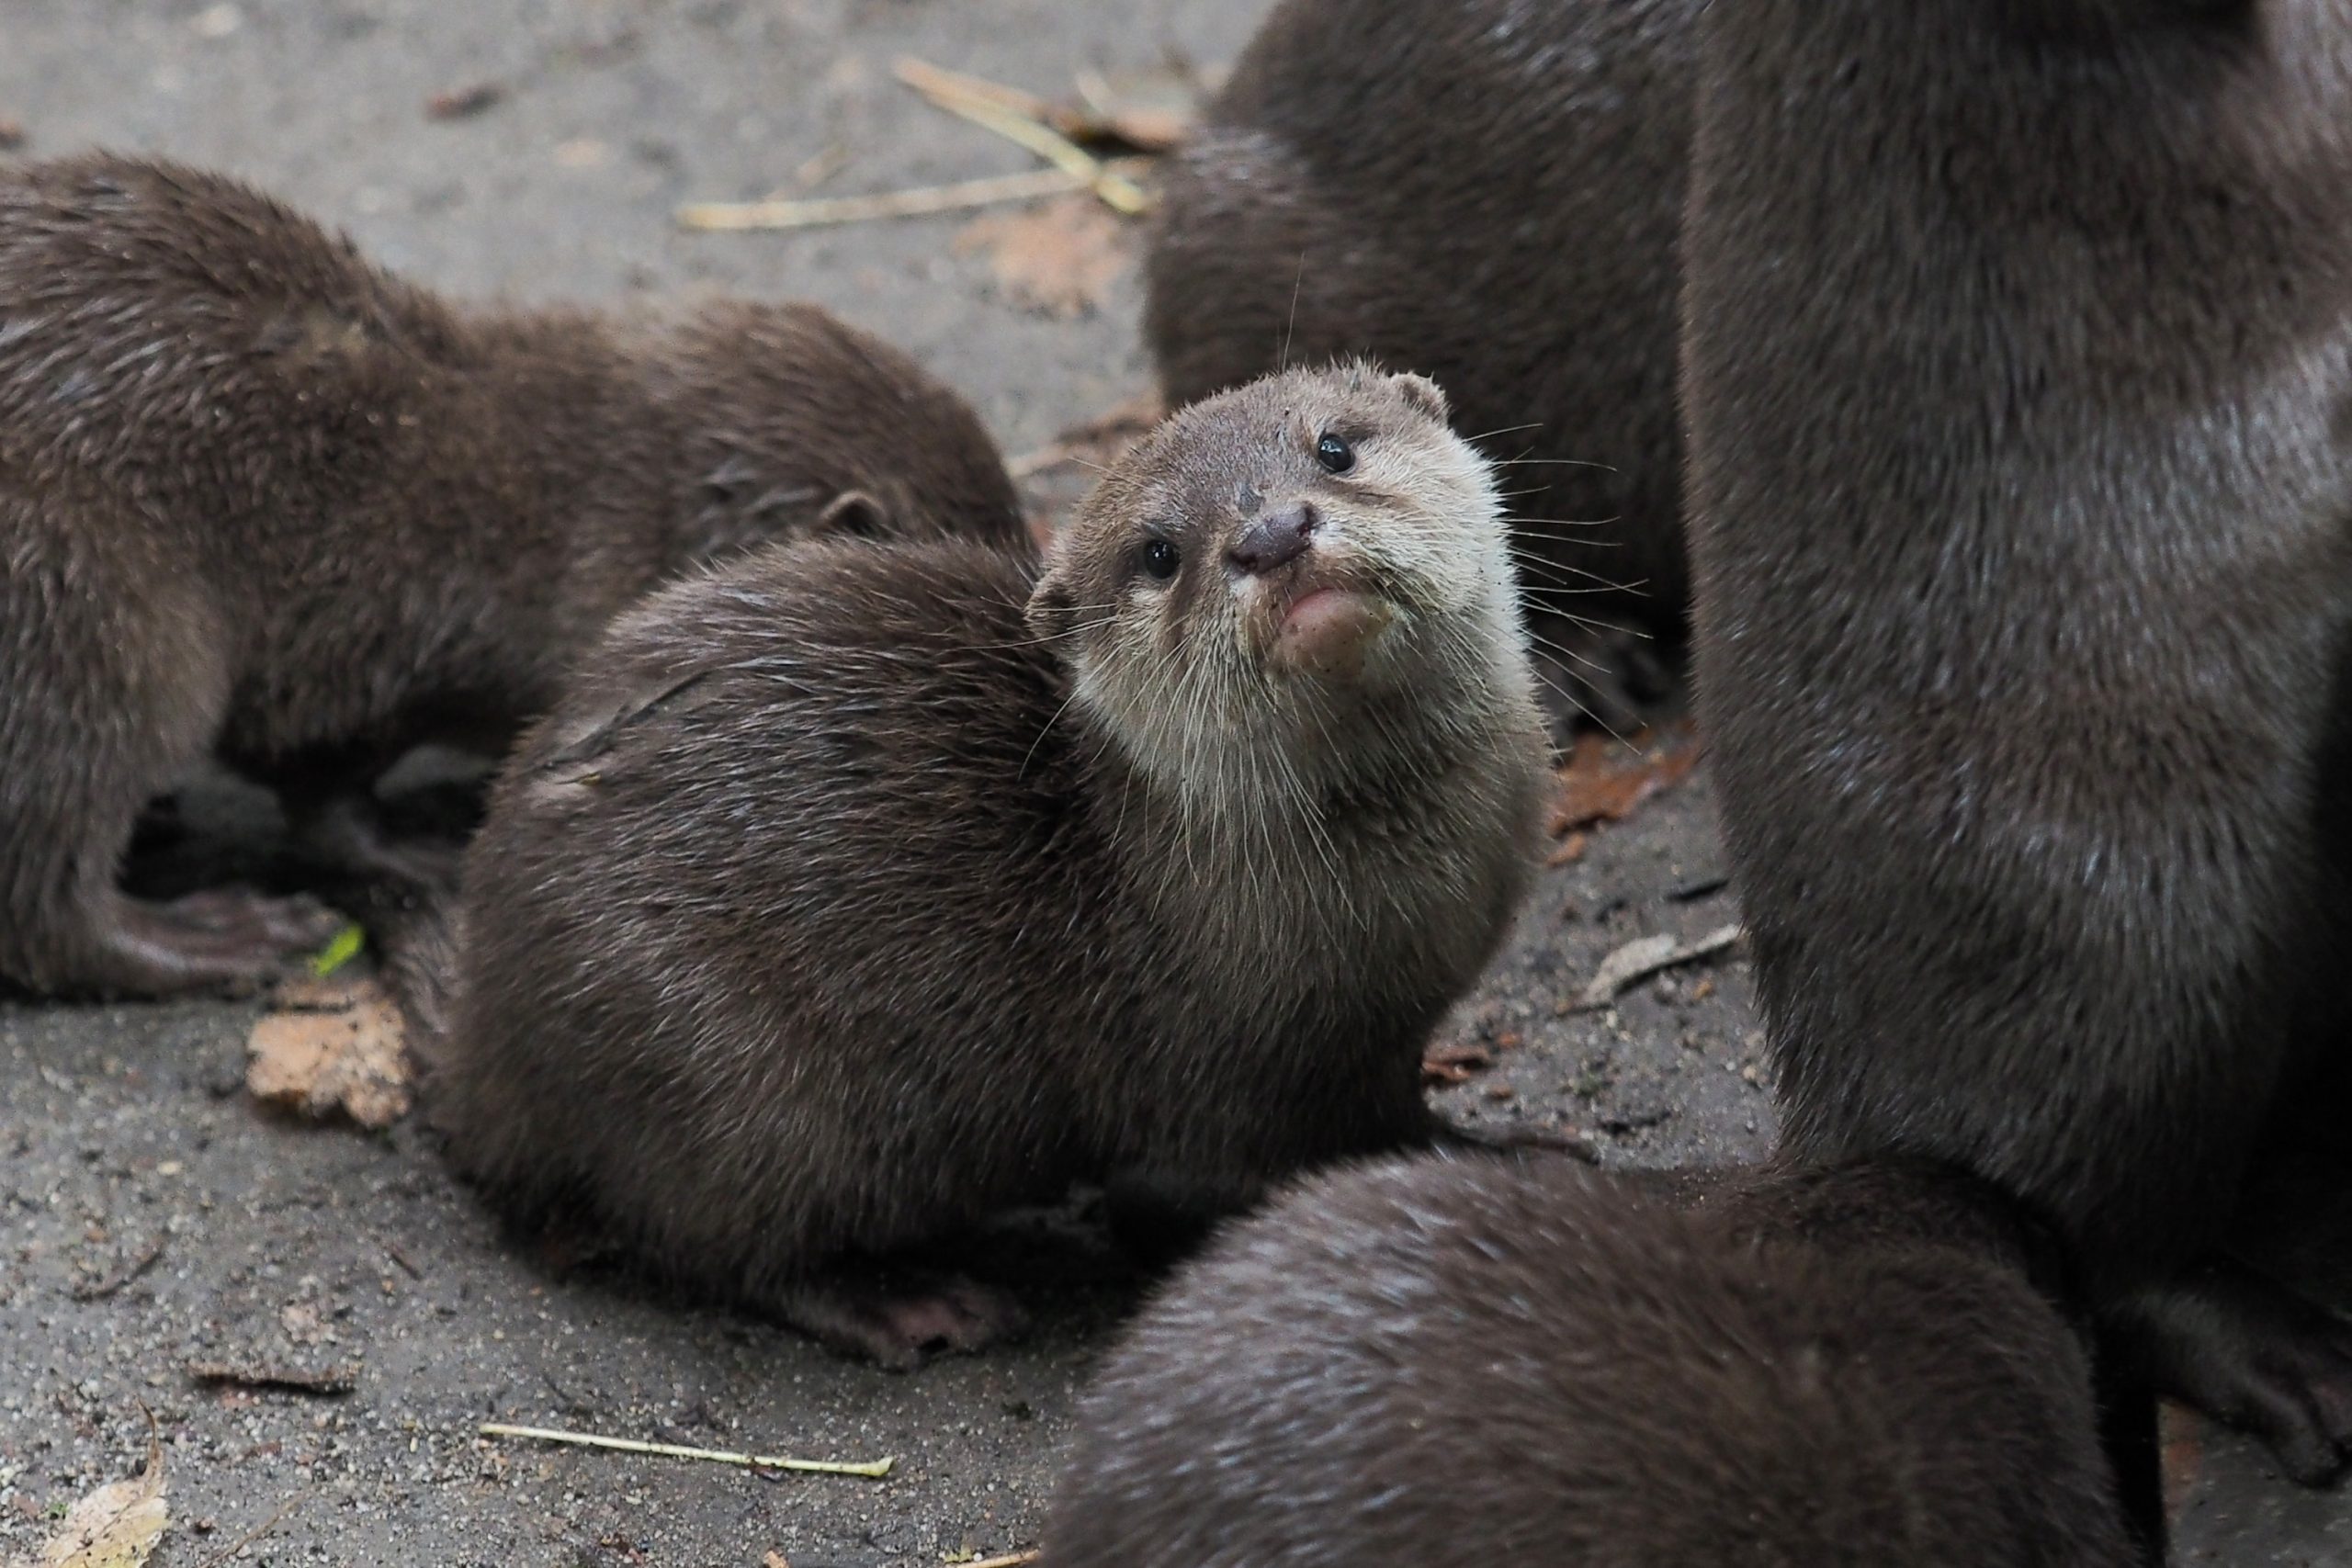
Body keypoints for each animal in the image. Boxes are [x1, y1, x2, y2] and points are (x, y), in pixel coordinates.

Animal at [2, 152, 1030, 1001]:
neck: (582, 510)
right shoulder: (372, 639)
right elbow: (320, 785)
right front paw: (425, 848)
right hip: (92, 609)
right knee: (47, 892)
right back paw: (224, 935)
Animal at [423, 362, 1561, 1363]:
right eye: (1158, 553)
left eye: (1333, 447)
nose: (1272, 534)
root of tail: (486, 1045)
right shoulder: (1237, 1079)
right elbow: (1262, 1164)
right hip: (723, 1072)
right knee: (715, 1239)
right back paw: (905, 1301)